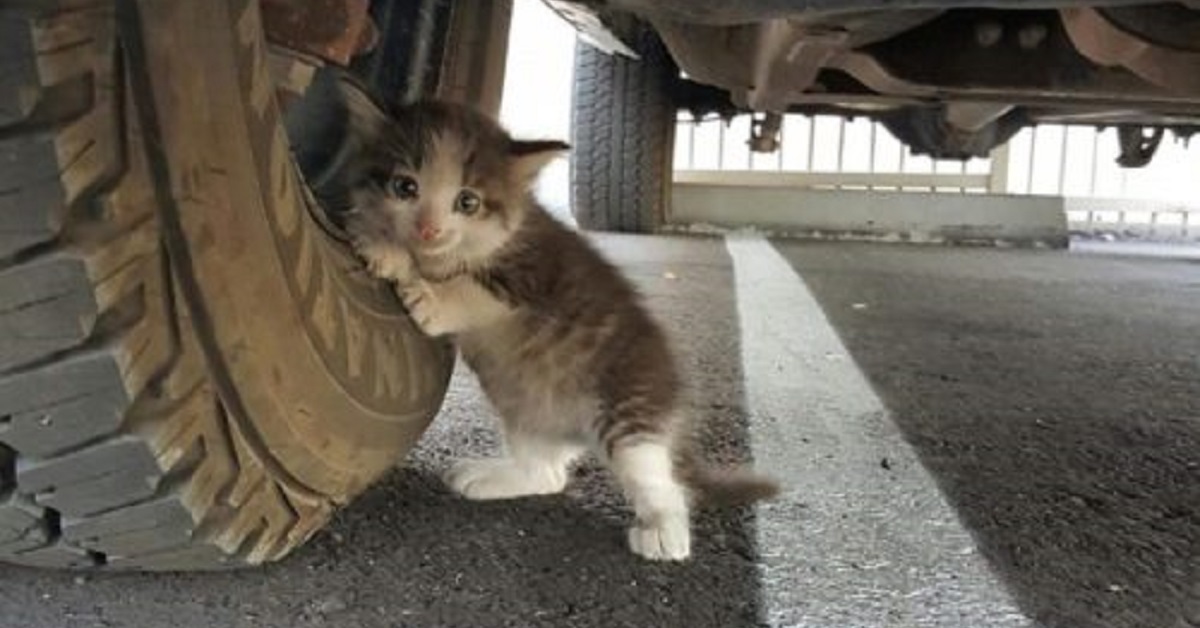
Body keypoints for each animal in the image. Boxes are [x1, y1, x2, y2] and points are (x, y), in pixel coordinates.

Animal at [336, 78, 777, 559]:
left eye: (466, 201)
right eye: (405, 187)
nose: (428, 229)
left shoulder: (533, 274)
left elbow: (471, 287)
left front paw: (425, 290)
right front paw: (382, 243)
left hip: (628, 408)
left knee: (657, 477)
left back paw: (664, 530)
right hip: (525, 410)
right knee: (549, 476)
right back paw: (493, 476)